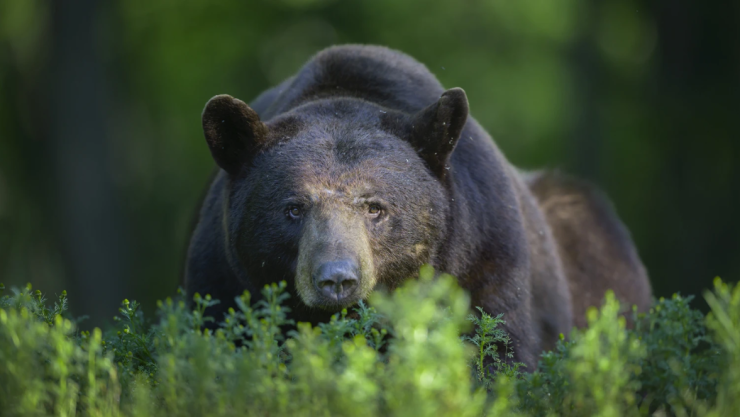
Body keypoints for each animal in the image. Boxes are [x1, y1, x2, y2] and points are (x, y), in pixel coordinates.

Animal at [184, 44, 652, 368]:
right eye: (294, 208)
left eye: (375, 207)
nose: (336, 279)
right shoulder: (222, 275)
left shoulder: (486, 254)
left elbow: (496, 348)